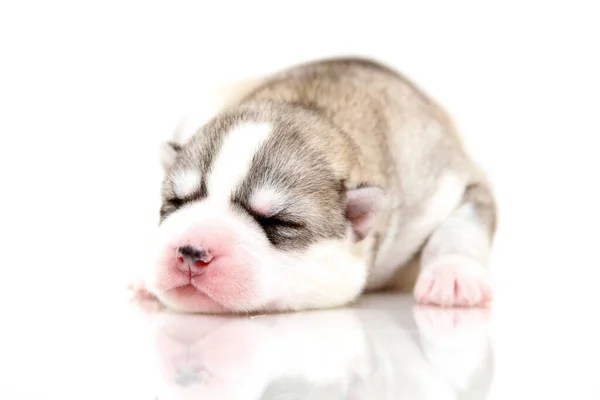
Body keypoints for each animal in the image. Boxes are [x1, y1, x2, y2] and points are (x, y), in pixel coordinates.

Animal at [132, 57, 496, 312]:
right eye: (177, 202)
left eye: (278, 222)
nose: (190, 251)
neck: (311, 107)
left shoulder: (446, 181)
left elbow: (460, 226)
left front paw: (453, 275)